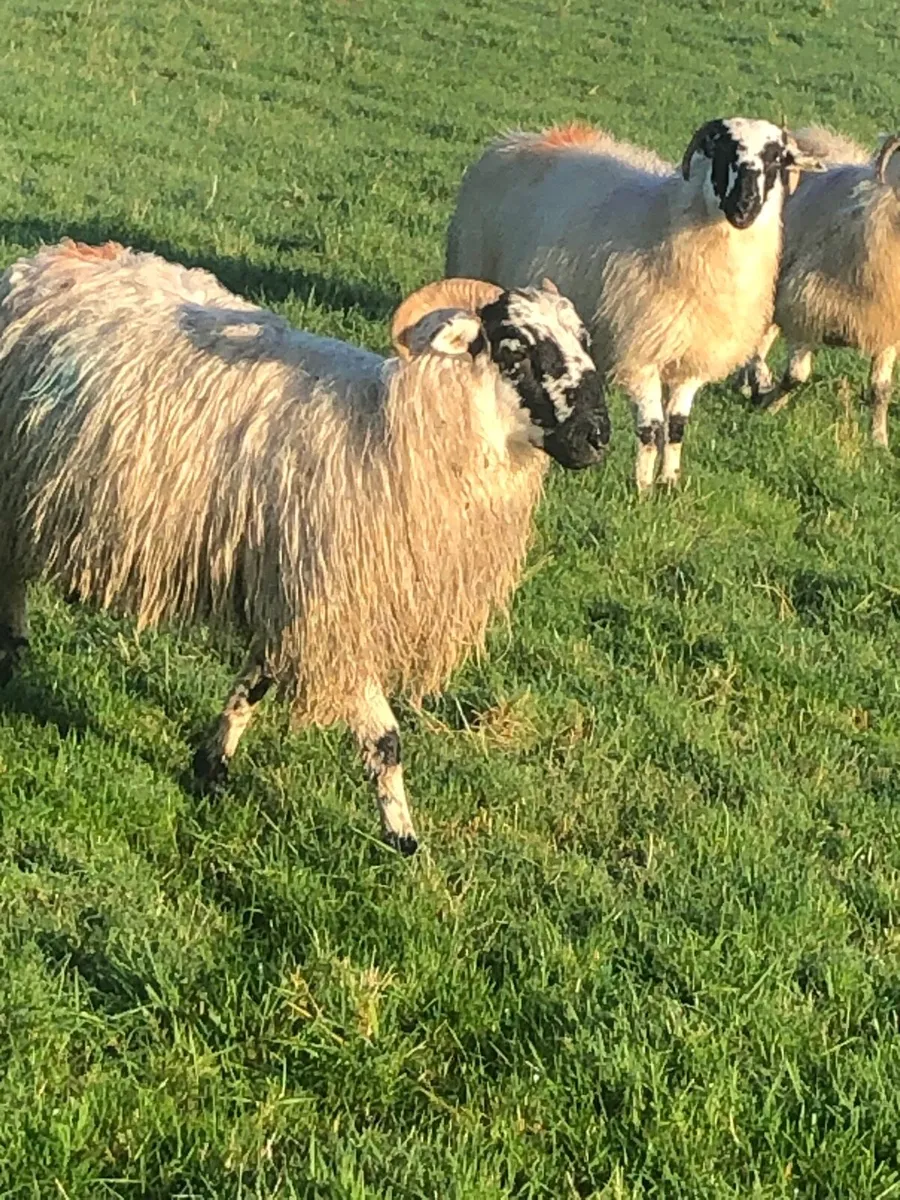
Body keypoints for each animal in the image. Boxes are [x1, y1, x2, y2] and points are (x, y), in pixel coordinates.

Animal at [0, 239, 609, 854]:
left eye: (583, 342)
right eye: (517, 350)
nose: (597, 437)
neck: (390, 433)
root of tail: (47, 259)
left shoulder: (287, 592)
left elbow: (253, 687)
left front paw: (211, 768)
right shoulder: (334, 609)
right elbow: (386, 739)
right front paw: (402, 837)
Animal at [446, 118, 821, 491]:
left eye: (776, 159)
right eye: (723, 151)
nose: (744, 207)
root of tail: (518, 138)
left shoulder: (693, 359)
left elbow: (676, 426)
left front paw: (669, 482)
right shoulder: (639, 353)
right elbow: (650, 429)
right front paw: (641, 488)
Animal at [741, 128, 900, 447]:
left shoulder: (886, 327)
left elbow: (881, 389)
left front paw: (879, 440)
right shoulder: (806, 312)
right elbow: (796, 376)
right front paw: (769, 407)